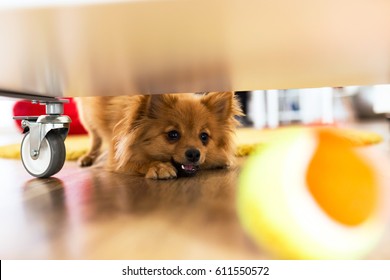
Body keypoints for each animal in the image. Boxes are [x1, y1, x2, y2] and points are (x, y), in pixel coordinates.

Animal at [76, 92, 242, 179]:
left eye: (204, 137)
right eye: (173, 134)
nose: (194, 153)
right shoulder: (117, 158)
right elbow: (138, 162)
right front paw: (158, 166)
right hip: (86, 118)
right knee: (95, 138)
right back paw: (88, 157)